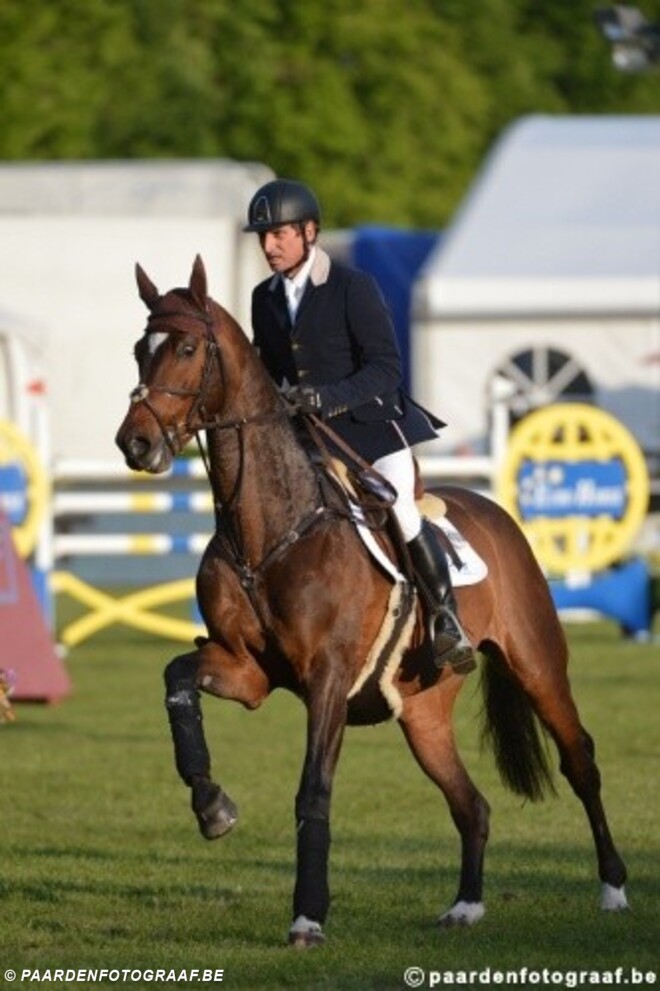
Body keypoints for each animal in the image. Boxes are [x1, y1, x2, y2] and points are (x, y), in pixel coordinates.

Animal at [115, 255, 628, 947]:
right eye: (140, 350)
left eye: (189, 349)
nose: (135, 445)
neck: (266, 531)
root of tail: (496, 511)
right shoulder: (246, 670)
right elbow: (177, 680)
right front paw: (212, 805)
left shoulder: (328, 677)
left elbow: (313, 791)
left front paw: (308, 915)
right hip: (422, 711)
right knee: (471, 803)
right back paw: (465, 906)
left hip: (538, 663)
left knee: (580, 762)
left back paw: (613, 888)